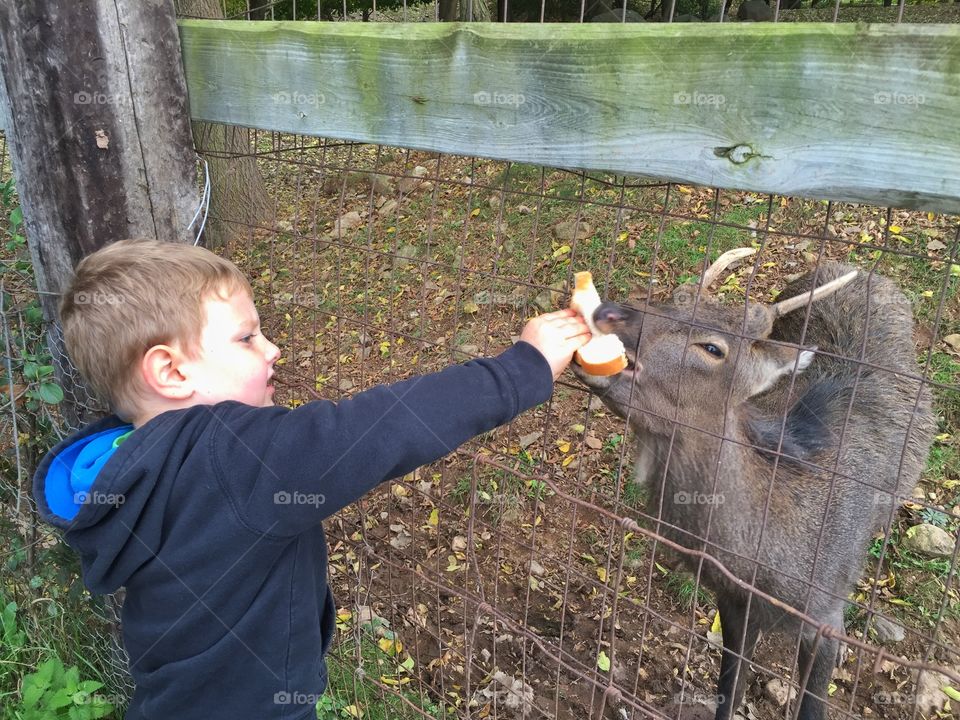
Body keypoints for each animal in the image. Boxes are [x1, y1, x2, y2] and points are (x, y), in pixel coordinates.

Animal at [573, 249, 935, 720]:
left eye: (712, 348)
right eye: (671, 300)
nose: (609, 310)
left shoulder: (825, 615)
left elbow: (813, 705)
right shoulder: (731, 603)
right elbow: (729, 690)